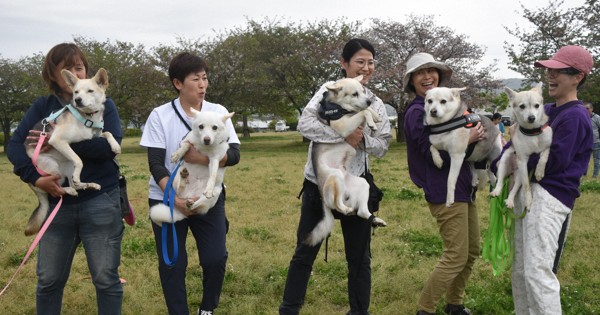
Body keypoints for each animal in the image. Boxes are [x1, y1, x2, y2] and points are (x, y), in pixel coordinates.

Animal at [24, 69, 120, 237]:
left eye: (90, 91)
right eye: (76, 92)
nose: (78, 100)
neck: (87, 117)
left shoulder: (94, 136)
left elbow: (107, 132)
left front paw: (115, 146)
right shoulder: (57, 140)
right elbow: (79, 160)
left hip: (67, 165)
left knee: (74, 184)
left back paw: (89, 184)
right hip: (52, 167)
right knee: (58, 189)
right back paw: (70, 188)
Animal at [308, 76, 386, 247]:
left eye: (363, 91)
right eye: (354, 94)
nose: (369, 101)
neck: (341, 108)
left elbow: (364, 110)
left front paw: (375, 116)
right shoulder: (344, 126)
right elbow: (363, 111)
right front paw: (371, 121)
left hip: (363, 184)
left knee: (362, 212)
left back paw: (375, 220)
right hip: (335, 177)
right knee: (337, 205)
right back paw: (346, 210)